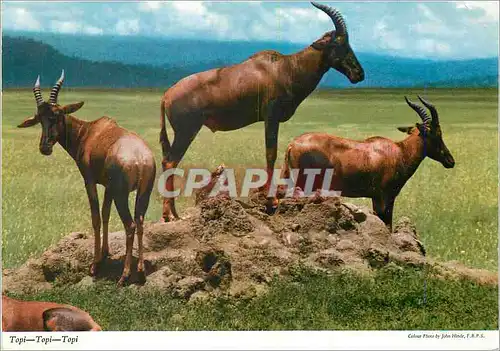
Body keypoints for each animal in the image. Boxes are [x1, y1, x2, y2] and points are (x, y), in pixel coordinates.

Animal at [18, 71, 156, 286]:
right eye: (40, 118)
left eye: (57, 115)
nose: (45, 147)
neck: (90, 131)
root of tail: (140, 158)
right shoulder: (108, 187)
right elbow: (106, 214)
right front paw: (105, 253)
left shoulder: (90, 181)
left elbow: (96, 217)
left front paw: (95, 264)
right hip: (144, 193)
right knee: (140, 221)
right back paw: (140, 272)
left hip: (122, 194)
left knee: (130, 224)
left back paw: (124, 276)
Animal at [159, 2, 364, 223]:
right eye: (339, 43)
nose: (358, 74)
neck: (285, 68)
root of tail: (167, 95)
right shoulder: (271, 117)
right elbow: (270, 153)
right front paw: (270, 200)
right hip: (187, 131)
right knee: (170, 161)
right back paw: (169, 215)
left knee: (168, 161)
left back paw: (173, 213)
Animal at [284, 96, 456, 231]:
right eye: (437, 133)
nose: (450, 161)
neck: (399, 151)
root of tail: (292, 144)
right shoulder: (384, 197)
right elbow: (386, 224)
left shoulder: (376, 197)